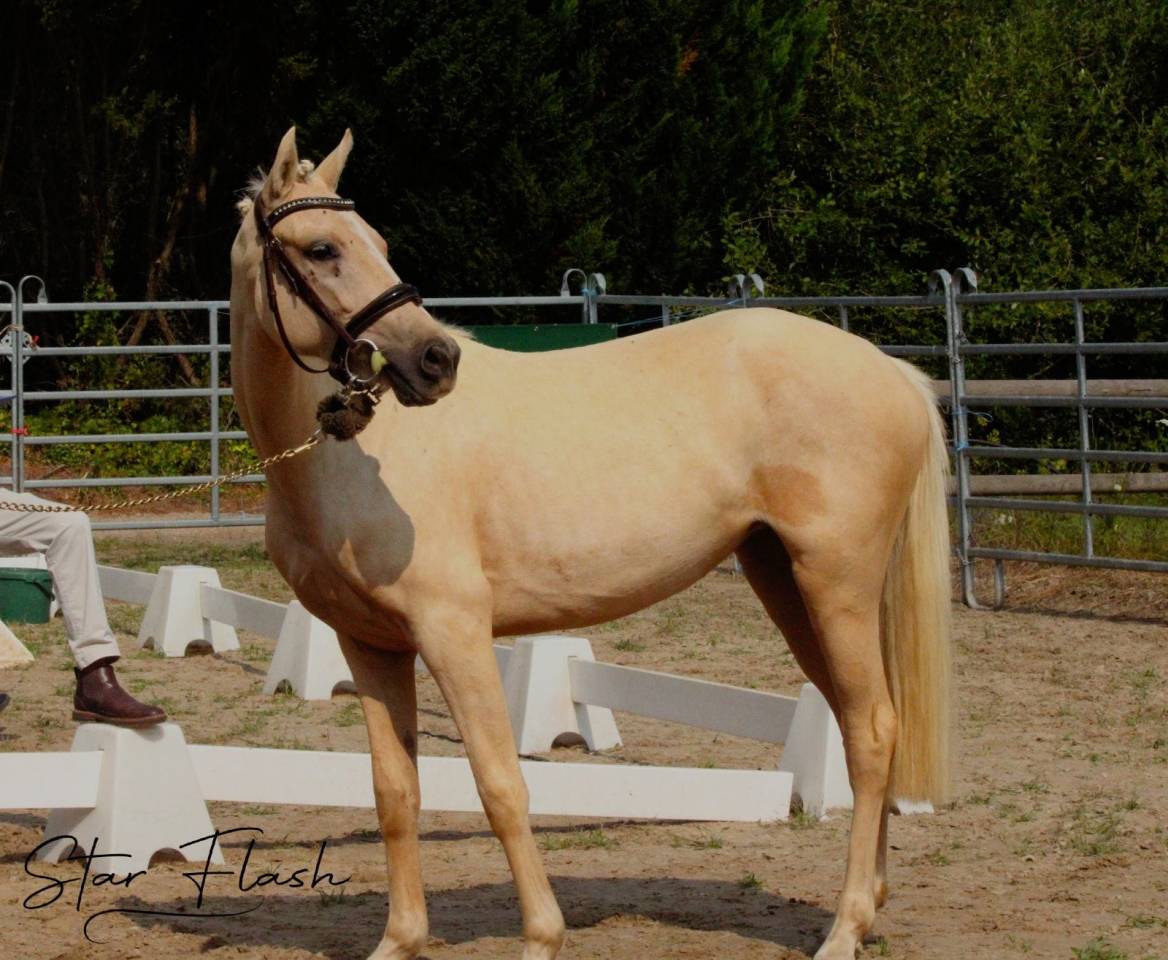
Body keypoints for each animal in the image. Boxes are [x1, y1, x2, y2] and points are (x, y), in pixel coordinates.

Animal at [229, 127, 952, 960]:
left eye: (375, 243)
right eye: (322, 248)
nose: (436, 362)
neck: (348, 457)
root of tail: (893, 372)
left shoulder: (454, 632)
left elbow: (499, 783)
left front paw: (542, 937)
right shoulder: (370, 644)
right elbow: (394, 791)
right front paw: (401, 941)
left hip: (837, 583)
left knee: (872, 733)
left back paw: (845, 928)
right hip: (787, 582)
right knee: (860, 723)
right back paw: (868, 905)